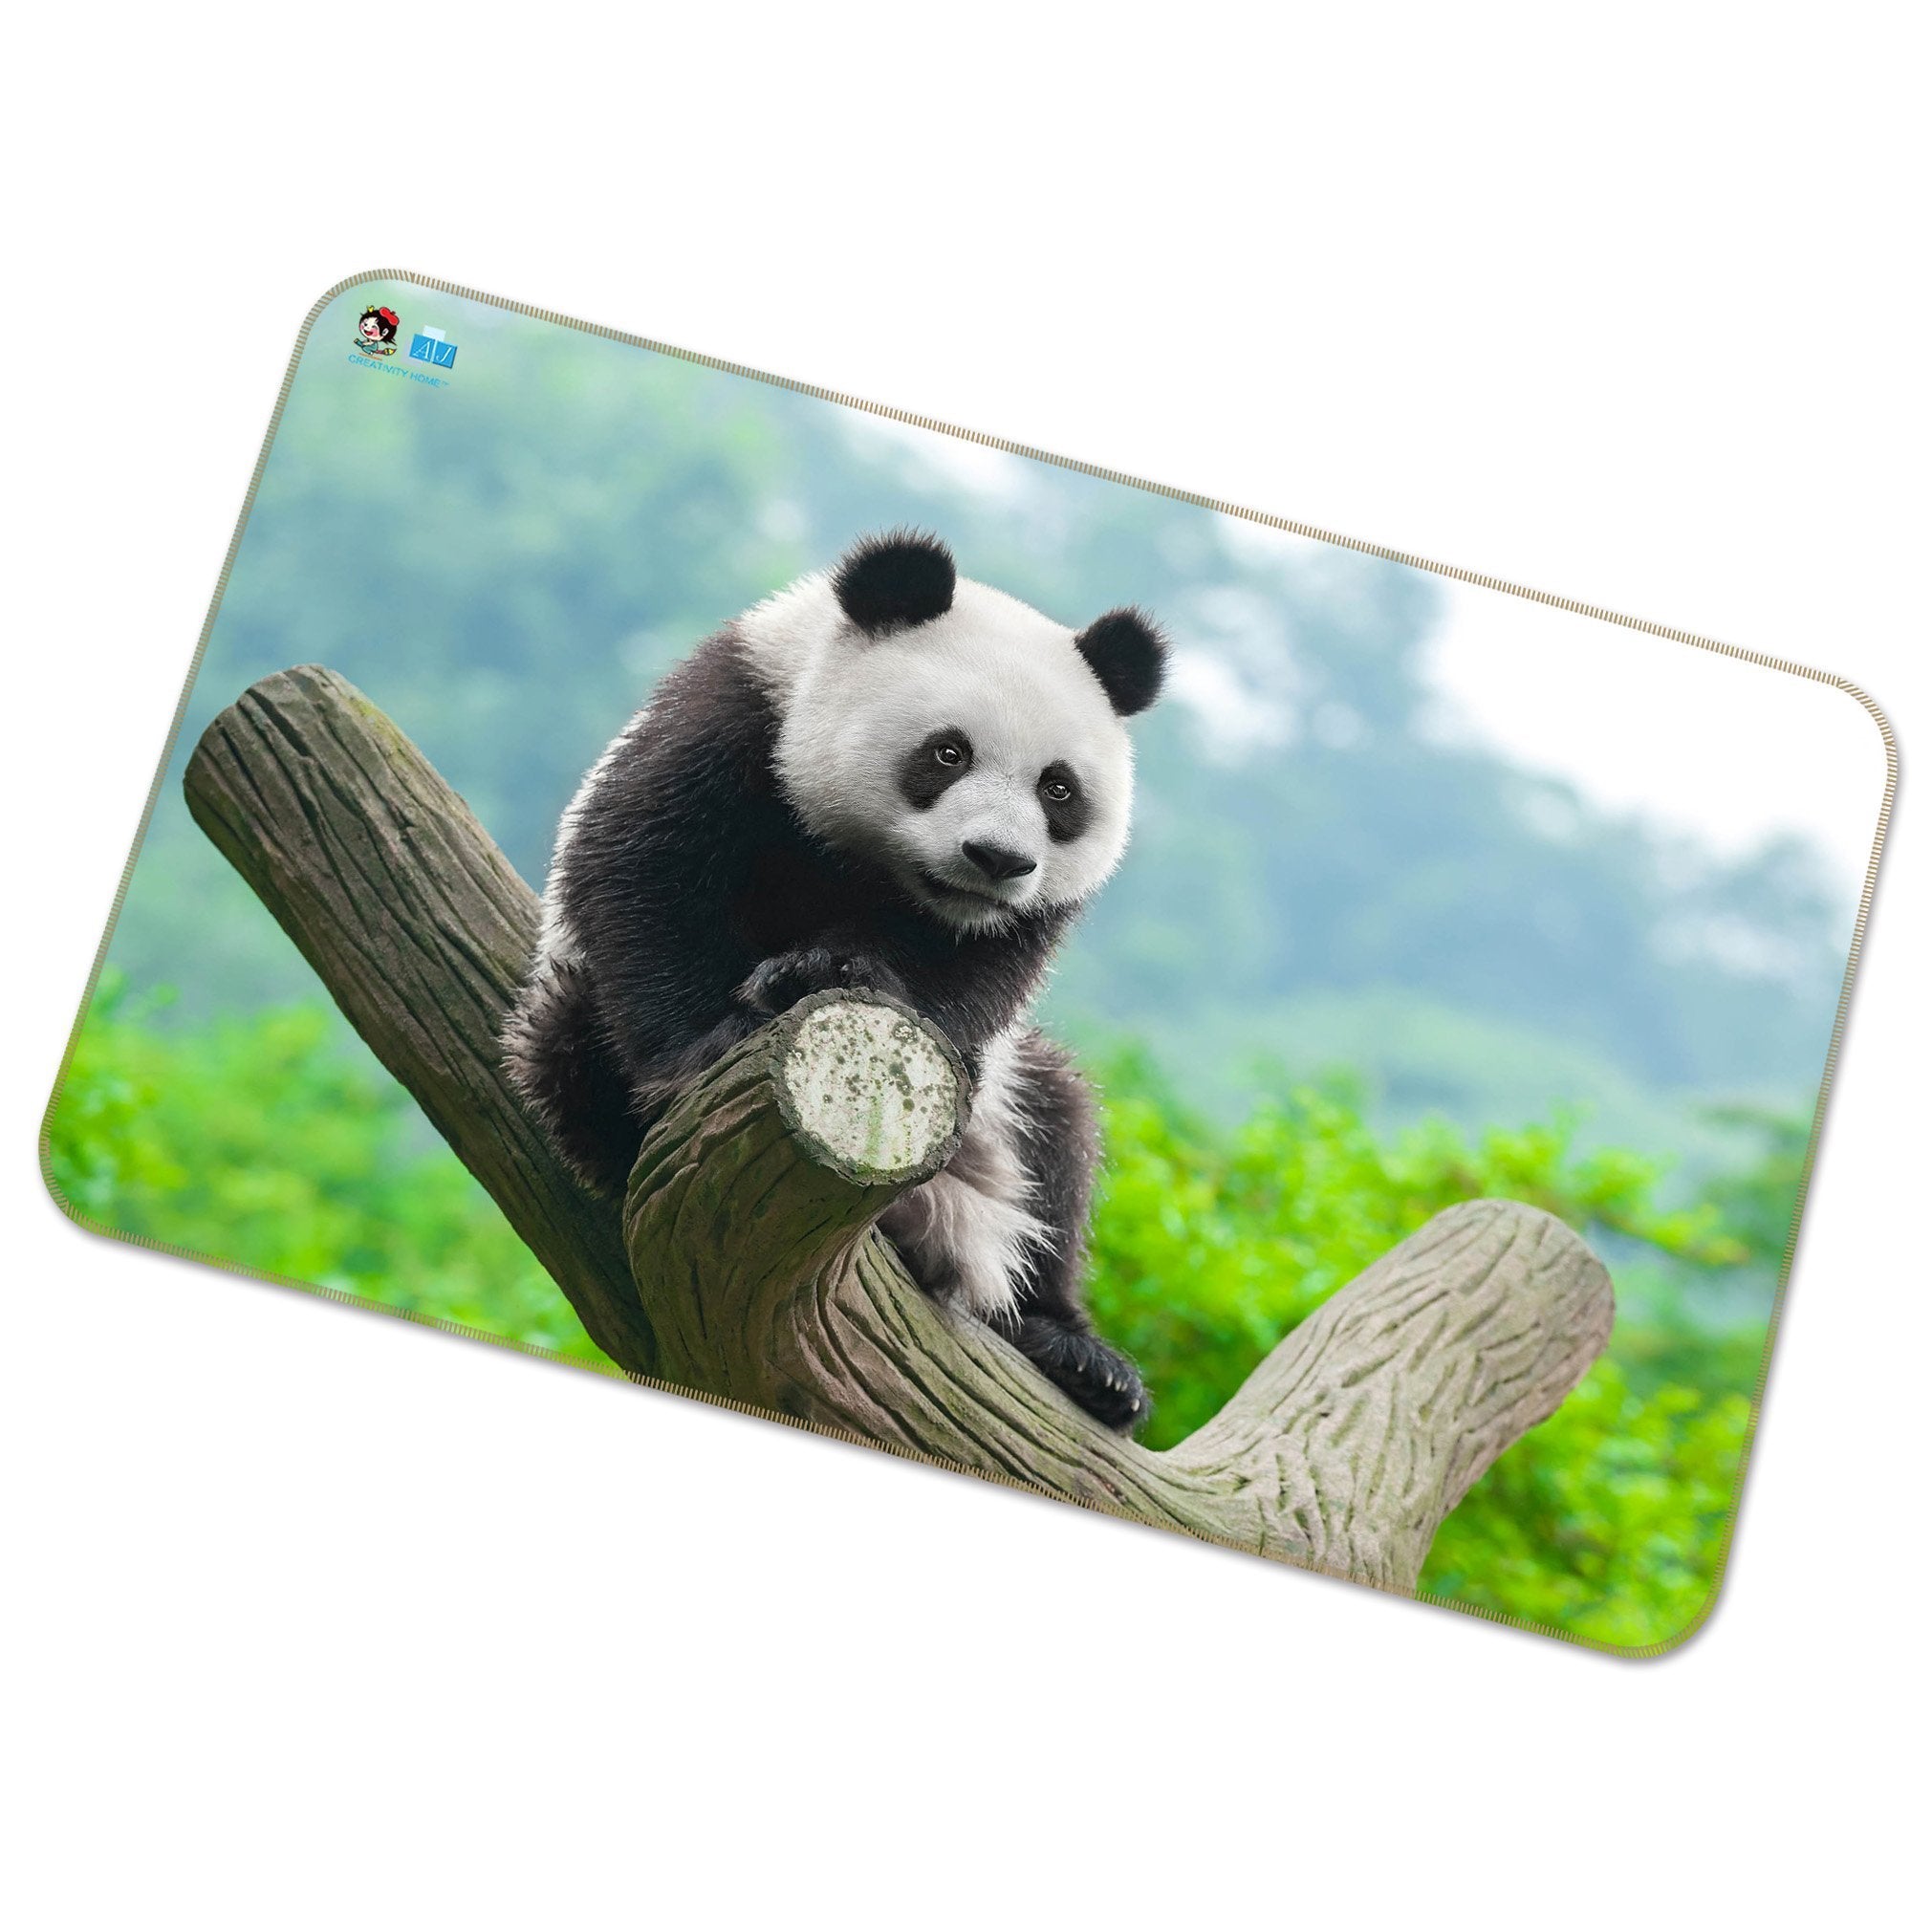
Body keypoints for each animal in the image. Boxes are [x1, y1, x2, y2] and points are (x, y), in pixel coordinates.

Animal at [503, 529, 1166, 1432]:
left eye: (1057, 789)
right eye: (947, 752)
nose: (996, 859)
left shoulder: (1014, 923)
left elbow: (978, 971)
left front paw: (833, 967)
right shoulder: (733, 720)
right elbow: (645, 875)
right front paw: (713, 1042)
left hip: (1002, 1109)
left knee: (1056, 1136)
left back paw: (1076, 1354)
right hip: (571, 1011)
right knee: (566, 1046)